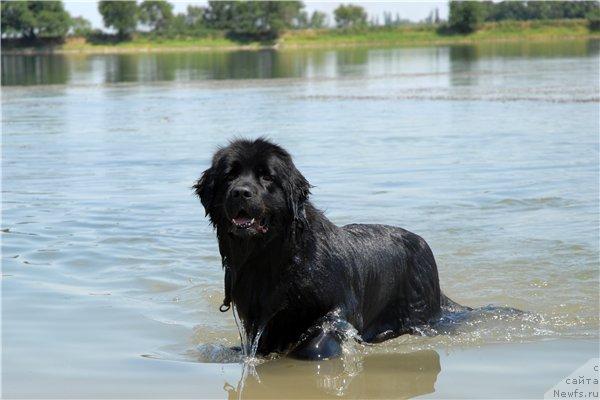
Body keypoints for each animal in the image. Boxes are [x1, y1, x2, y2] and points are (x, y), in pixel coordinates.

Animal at [195, 138, 462, 360]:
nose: (241, 192)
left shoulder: (339, 306)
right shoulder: (257, 317)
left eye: (267, 177)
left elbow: (320, 339)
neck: (273, 256)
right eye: (229, 176)